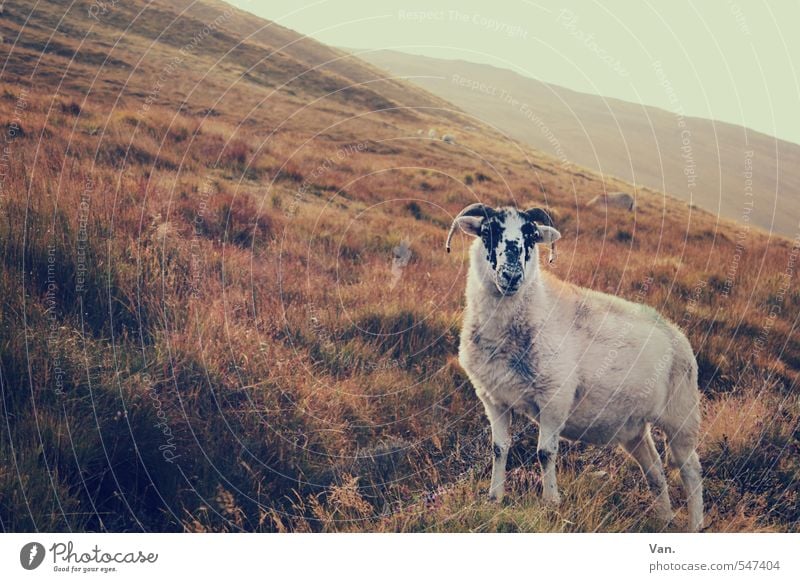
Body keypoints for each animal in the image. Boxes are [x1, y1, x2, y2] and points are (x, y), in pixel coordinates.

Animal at [446, 203, 704, 532]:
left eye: (532, 237)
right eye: (488, 231)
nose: (512, 275)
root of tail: (678, 334)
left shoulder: (555, 398)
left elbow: (545, 453)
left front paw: (550, 502)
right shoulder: (493, 398)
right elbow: (499, 448)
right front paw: (494, 498)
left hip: (681, 416)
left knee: (691, 470)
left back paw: (696, 524)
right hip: (633, 427)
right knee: (656, 469)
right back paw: (665, 517)